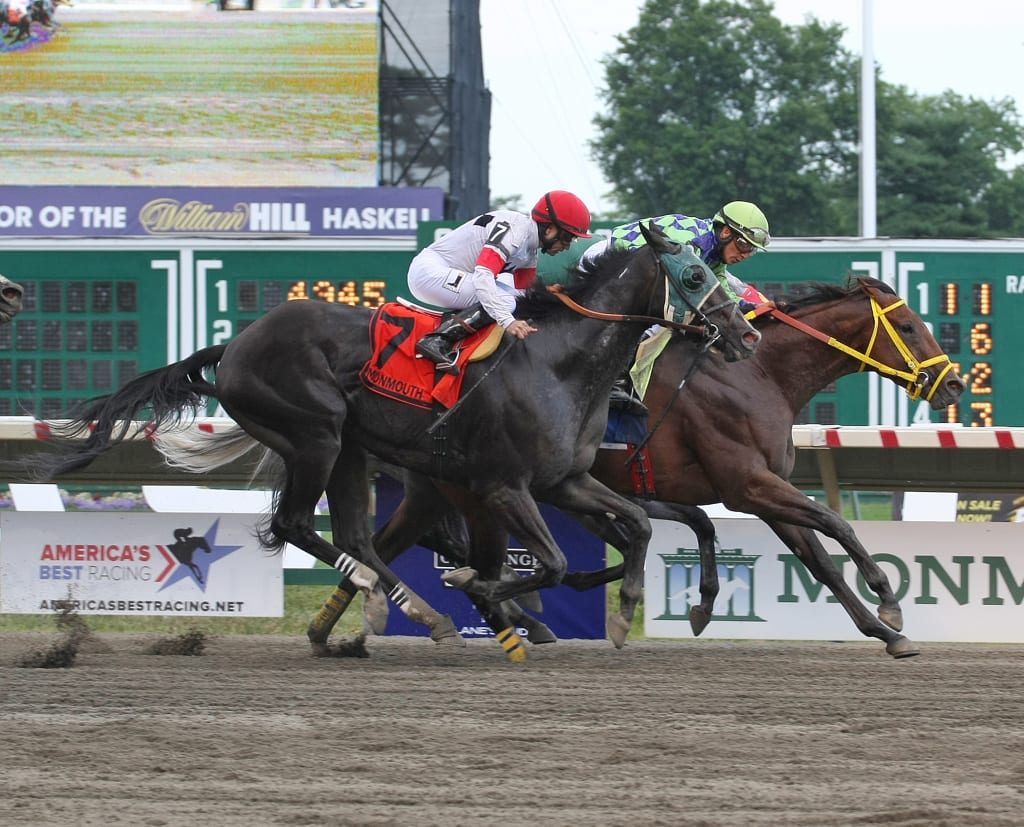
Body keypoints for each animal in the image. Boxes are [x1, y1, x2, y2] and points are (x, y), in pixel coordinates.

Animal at [307, 276, 962, 659]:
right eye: (909, 326)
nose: (954, 382)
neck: (757, 375)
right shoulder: (749, 485)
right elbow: (836, 525)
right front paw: (889, 601)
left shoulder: (759, 489)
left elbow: (818, 558)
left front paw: (886, 633)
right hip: (456, 490)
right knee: (392, 546)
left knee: (391, 547)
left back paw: (345, 630)